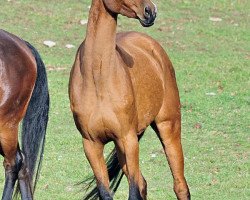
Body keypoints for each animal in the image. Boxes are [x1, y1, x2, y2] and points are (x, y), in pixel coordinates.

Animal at [69, 0, 190, 199]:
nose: (151, 11)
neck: (98, 78)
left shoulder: (128, 139)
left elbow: (133, 192)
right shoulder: (92, 145)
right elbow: (106, 192)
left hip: (168, 127)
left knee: (180, 186)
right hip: (121, 148)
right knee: (143, 183)